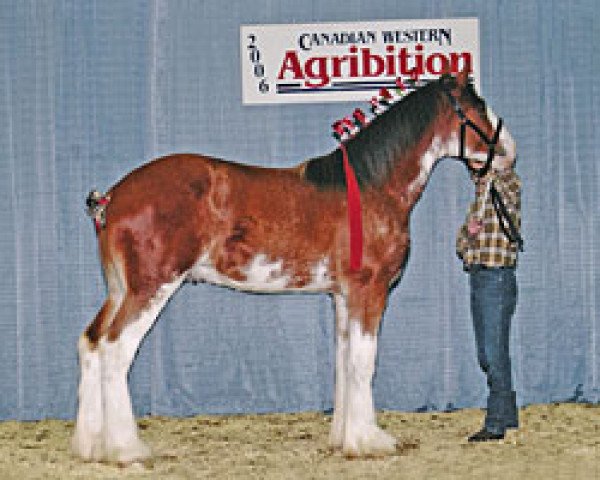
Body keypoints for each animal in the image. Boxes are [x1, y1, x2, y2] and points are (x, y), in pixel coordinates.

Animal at [72, 70, 516, 462]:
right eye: (476, 109)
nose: (510, 152)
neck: (373, 186)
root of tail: (113, 197)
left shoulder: (342, 296)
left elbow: (344, 360)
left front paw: (344, 438)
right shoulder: (368, 290)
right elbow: (364, 362)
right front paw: (370, 441)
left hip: (119, 290)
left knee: (91, 342)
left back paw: (90, 446)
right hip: (150, 288)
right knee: (115, 348)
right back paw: (126, 449)